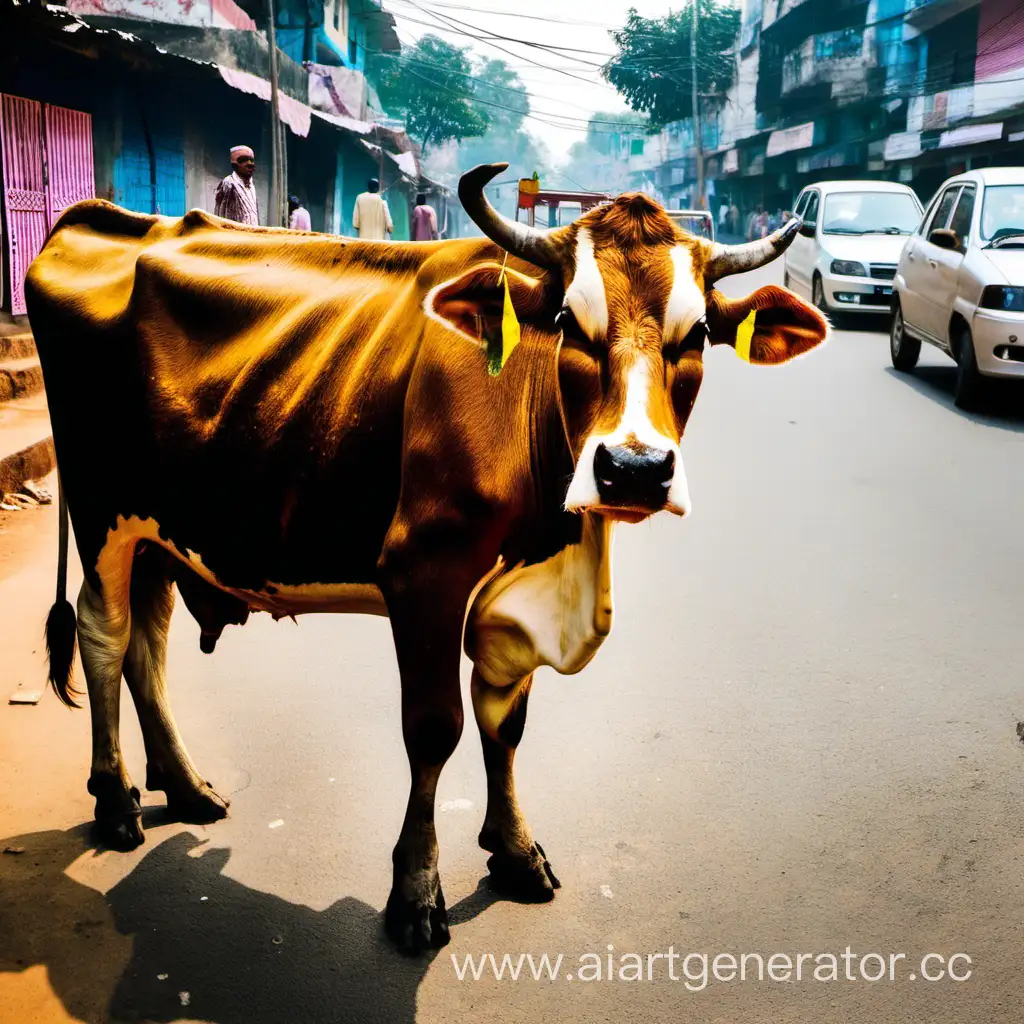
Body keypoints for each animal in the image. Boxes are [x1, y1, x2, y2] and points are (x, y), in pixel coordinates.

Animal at [24, 159, 827, 950]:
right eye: (569, 321)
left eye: (698, 335)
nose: (633, 469)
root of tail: (98, 221)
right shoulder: (424, 575)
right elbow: (436, 729)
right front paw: (415, 891)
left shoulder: (514, 596)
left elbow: (506, 722)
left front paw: (515, 851)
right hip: (100, 512)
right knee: (104, 635)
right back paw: (115, 800)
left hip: (161, 527)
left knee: (148, 645)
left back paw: (185, 786)